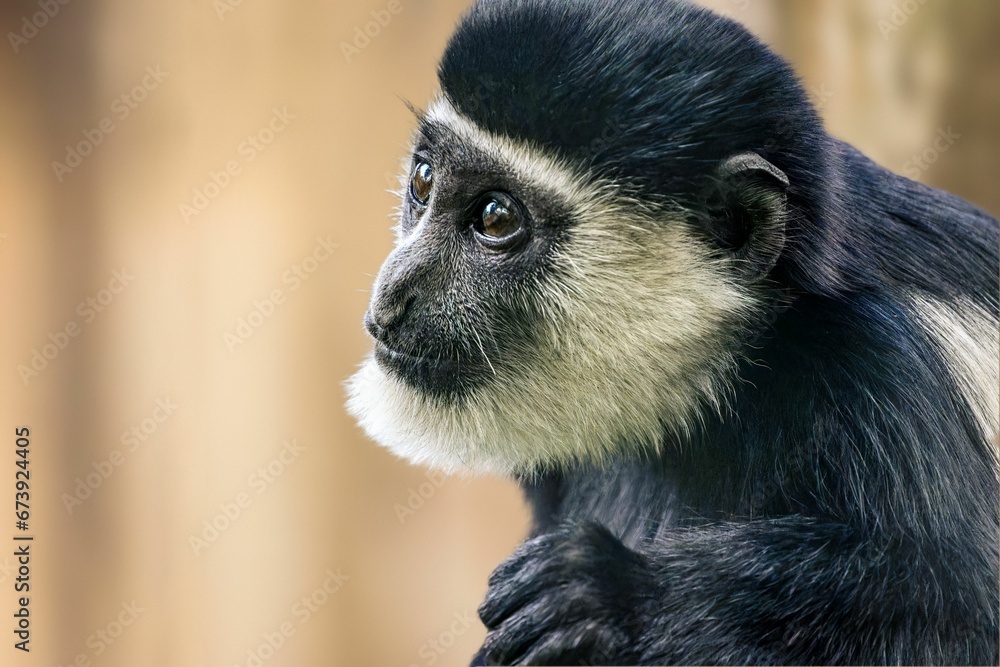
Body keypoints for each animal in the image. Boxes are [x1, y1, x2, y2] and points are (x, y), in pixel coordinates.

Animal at [346, 0, 1000, 664]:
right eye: (423, 180)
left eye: (496, 218)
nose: (393, 294)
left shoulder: (884, 367)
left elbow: (953, 614)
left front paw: (613, 595)